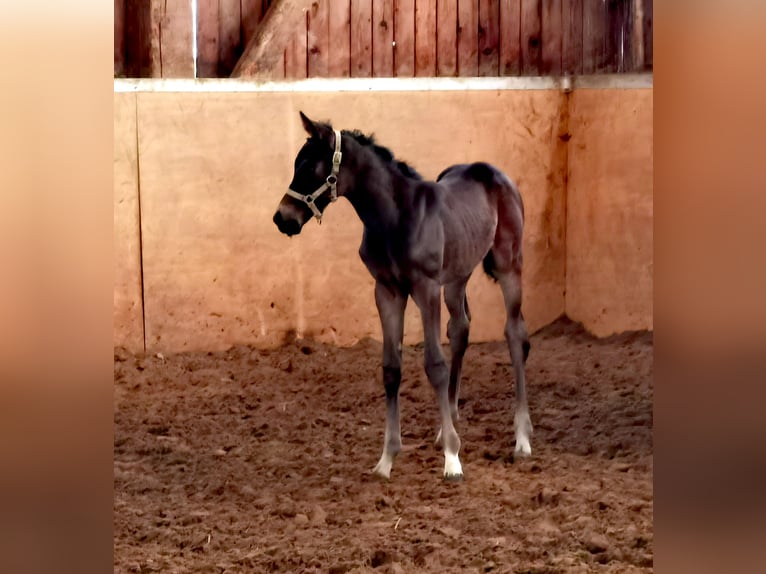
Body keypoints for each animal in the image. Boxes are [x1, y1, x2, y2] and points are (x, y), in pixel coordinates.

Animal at [276, 112, 536, 482]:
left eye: (310, 166)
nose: (282, 218)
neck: (395, 217)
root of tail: (495, 173)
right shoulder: (387, 290)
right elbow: (391, 368)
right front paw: (386, 459)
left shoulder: (425, 287)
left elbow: (434, 365)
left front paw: (452, 460)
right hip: (456, 276)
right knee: (461, 328)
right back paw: (447, 426)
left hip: (508, 265)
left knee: (515, 334)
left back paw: (522, 439)